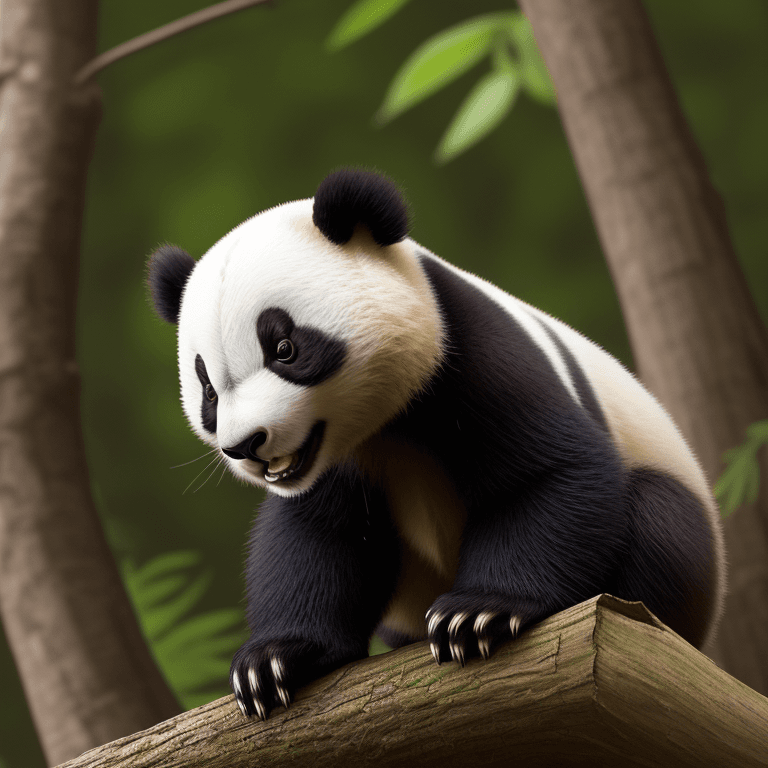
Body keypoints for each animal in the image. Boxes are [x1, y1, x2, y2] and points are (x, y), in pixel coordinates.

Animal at [148, 168, 725, 721]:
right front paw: (272, 662)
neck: (382, 423)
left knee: (658, 516)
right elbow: (317, 536)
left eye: (285, 347)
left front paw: (477, 613)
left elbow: (547, 472)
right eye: (207, 389)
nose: (247, 445)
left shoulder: (467, 351)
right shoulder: (339, 461)